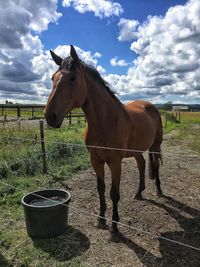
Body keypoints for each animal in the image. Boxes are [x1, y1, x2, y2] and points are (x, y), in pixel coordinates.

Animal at [45, 45, 162, 233]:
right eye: (52, 78)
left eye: (73, 78)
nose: (50, 116)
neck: (106, 121)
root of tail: (150, 106)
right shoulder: (95, 160)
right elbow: (100, 189)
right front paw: (100, 219)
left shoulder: (115, 162)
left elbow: (114, 193)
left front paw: (114, 224)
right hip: (136, 150)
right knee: (142, 164)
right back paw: (139, 193)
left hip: (156, 145)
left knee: (156, 165)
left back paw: (159, 190)